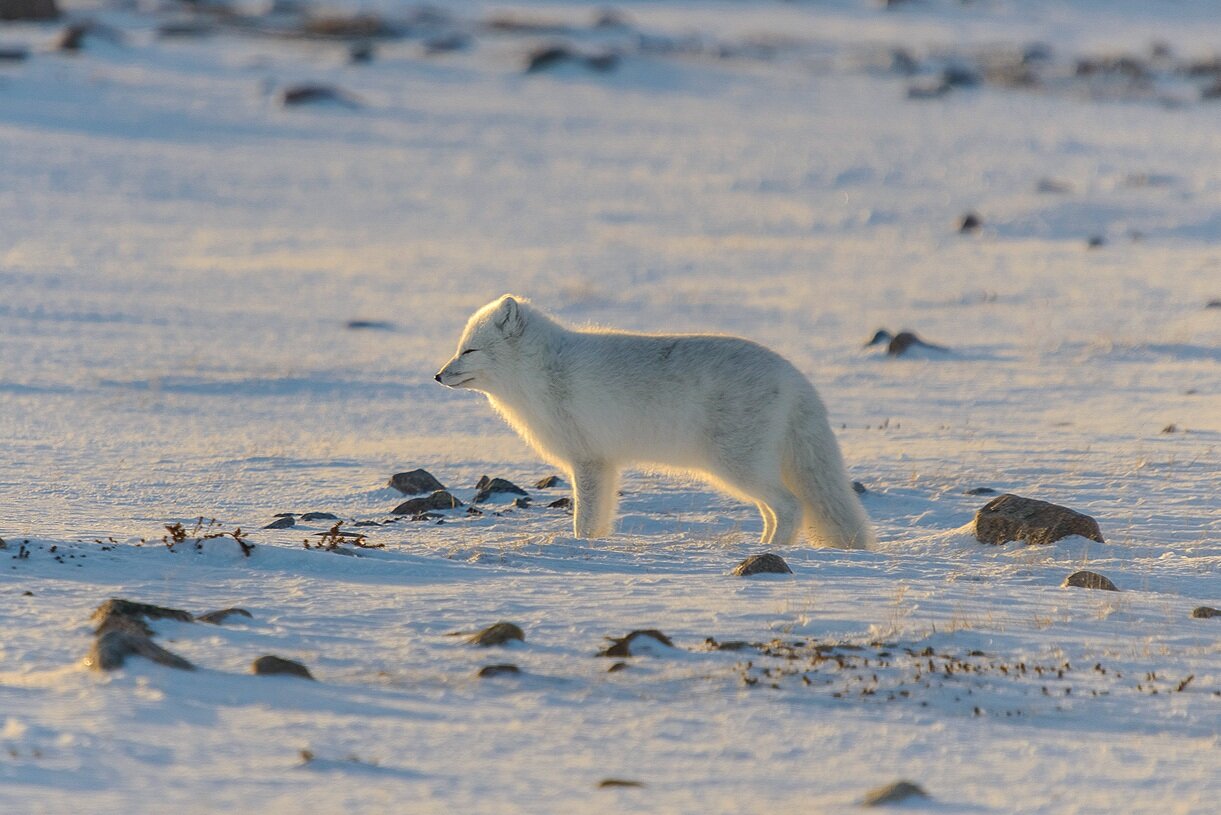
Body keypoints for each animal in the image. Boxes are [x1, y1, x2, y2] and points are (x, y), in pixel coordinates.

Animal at [439, 296, 879, 552]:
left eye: (469, 351)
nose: (438, 376)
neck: (541, 371)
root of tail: (795, 377)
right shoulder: (605, 464)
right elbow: (600, 518)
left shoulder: (588, 460)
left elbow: (585, 519)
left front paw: (582, 549)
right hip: (749, 470)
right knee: (777, 510)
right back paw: (764, 546)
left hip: (736, 467)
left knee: (790, 506)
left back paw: (771, 551)